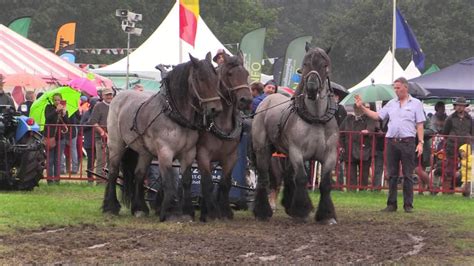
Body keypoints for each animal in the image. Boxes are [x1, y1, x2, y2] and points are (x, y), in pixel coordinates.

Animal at [102, 52, 222, 220]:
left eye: (216, 78)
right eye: (200, 79)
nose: (215, 109)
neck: (175, 115)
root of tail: (119, 95)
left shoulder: (188, 153)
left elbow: (186, 181)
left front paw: (187, 212)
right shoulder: (165, 152)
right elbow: (168, 182)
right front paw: (167, 211)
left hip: (144, 152)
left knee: (139, 175)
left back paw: (139, 208)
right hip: (116, 144)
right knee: (113, 172)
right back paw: (110, 207)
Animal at [254, 46, 338, 224]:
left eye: (325, 65)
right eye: (305, 63)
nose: (312, 88)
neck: (316, 118)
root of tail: (267, 98)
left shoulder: (330, 155)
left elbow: (325, 183)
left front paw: (327, 215)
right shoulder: (297, 152)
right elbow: (301, 178)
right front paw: (301, 210)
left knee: (288, 176)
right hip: (263, 150)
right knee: (264, 178)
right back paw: (262, 211)